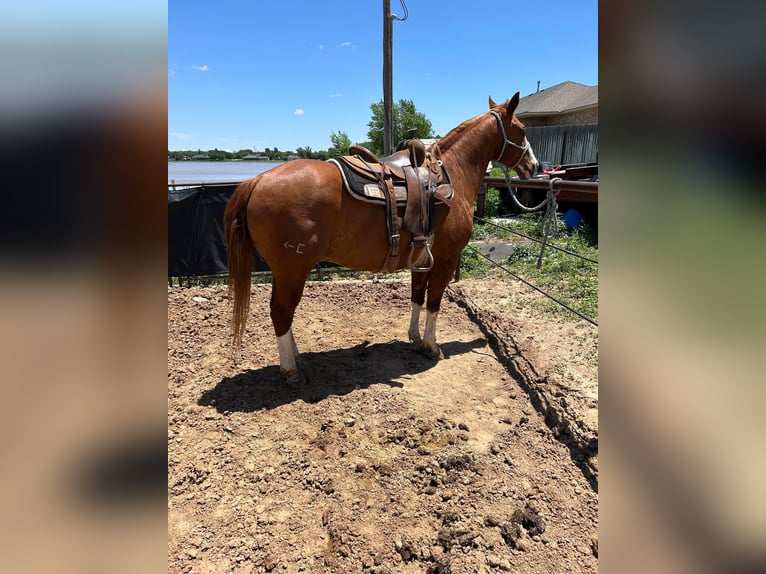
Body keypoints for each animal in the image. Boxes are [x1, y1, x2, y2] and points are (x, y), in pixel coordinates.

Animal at [224, 92, 540, 384]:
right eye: (523, 130)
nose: (535, 167)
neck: (452, 173)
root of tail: (258, 180)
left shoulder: (422, 257)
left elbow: (417, 296)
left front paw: (415, 339)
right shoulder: (445, 260)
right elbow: (435, 302)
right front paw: (431, 346)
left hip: (283, 271)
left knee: (281, 311)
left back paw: (296, 357)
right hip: (293, 269)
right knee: (281, 311)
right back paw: (291, 370)